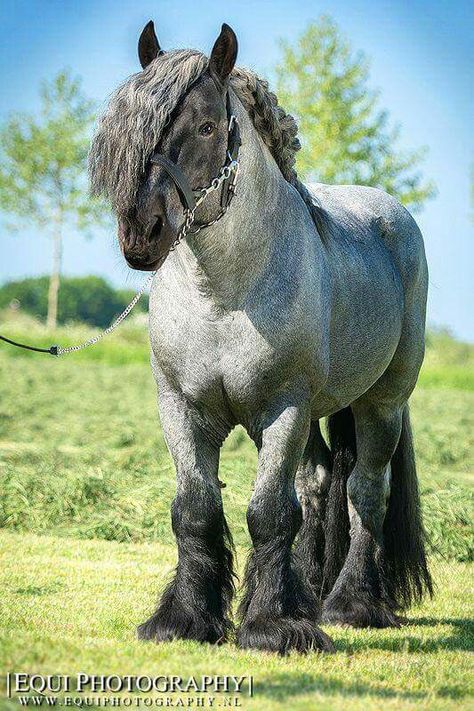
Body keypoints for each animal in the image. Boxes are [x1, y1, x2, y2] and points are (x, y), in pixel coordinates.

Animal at [90, 20, 434, 656]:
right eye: (129, 132)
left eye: (206, 126)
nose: (141, 233)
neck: (224, 297)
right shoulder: (182, 409)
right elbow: (196, 510)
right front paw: (185, 619)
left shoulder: (283, 409)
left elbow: (270, 512)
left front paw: (273, 626)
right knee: (320, 483)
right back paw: (312, 592)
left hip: (381, 404)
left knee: (365, 492)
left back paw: (350, 605)